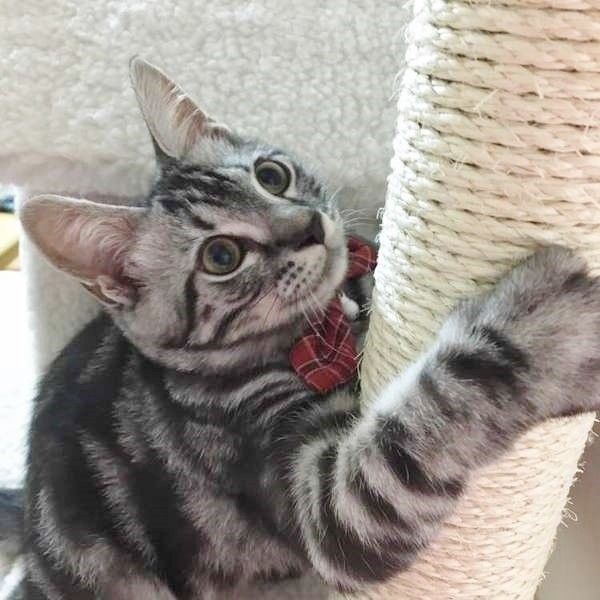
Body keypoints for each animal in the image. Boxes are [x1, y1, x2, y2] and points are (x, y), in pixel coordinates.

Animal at [2, 57, 600, 600]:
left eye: (272, 176)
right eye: (222, 256)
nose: (309, 226)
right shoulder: (332, 511)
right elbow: (436, 406)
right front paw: (549, 332)